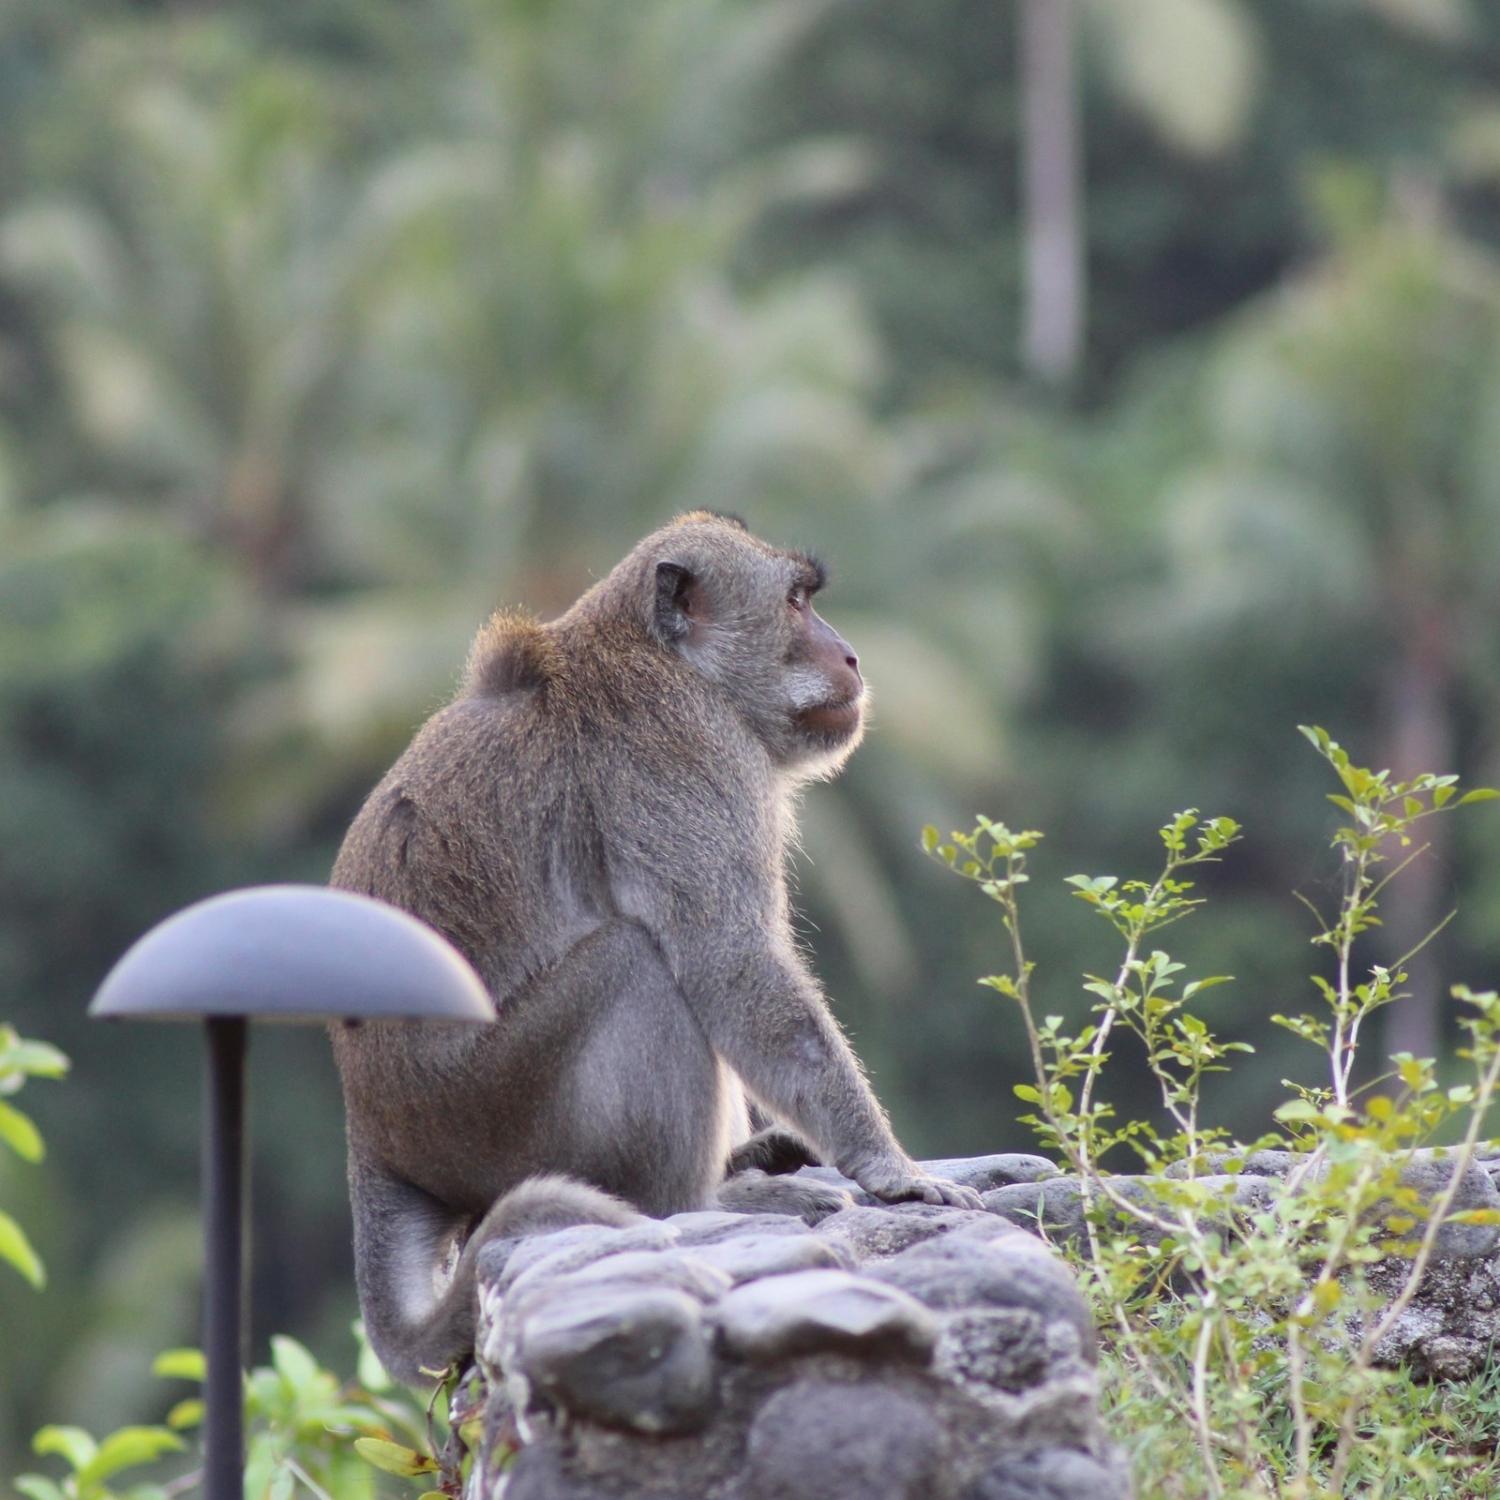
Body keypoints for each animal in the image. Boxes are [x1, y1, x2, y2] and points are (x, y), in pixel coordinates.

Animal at [329, 511, 984, 1384]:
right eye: (796, 602)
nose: (848, 655)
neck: (652, 653)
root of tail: (374, 1133)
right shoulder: (689, 752)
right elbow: (727, 960)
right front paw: (893, 1170)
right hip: (489, 1114)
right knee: (637, 966)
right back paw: (698, 1202)